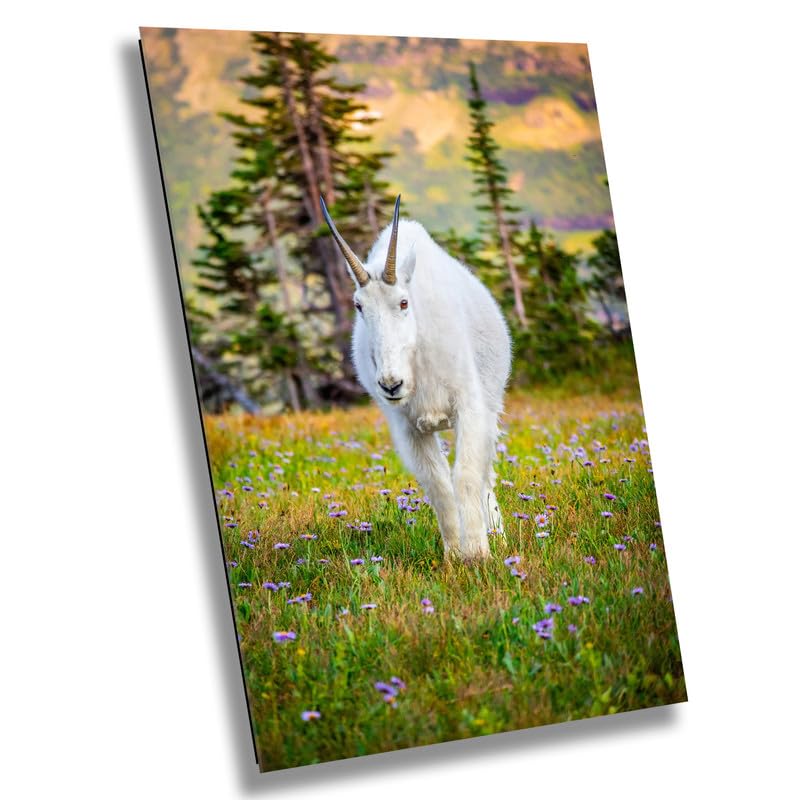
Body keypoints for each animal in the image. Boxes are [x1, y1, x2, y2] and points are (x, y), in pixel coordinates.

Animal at [320, 195, 512, 560]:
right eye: (359, 306)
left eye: (403, 302)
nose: (391, 384)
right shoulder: (408, 427)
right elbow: (438, 485)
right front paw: (454, 556)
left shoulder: (469, 407)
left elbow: (466, 475)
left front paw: (478, 554)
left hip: (491, 405)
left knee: (486, 472)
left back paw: (498, 534)